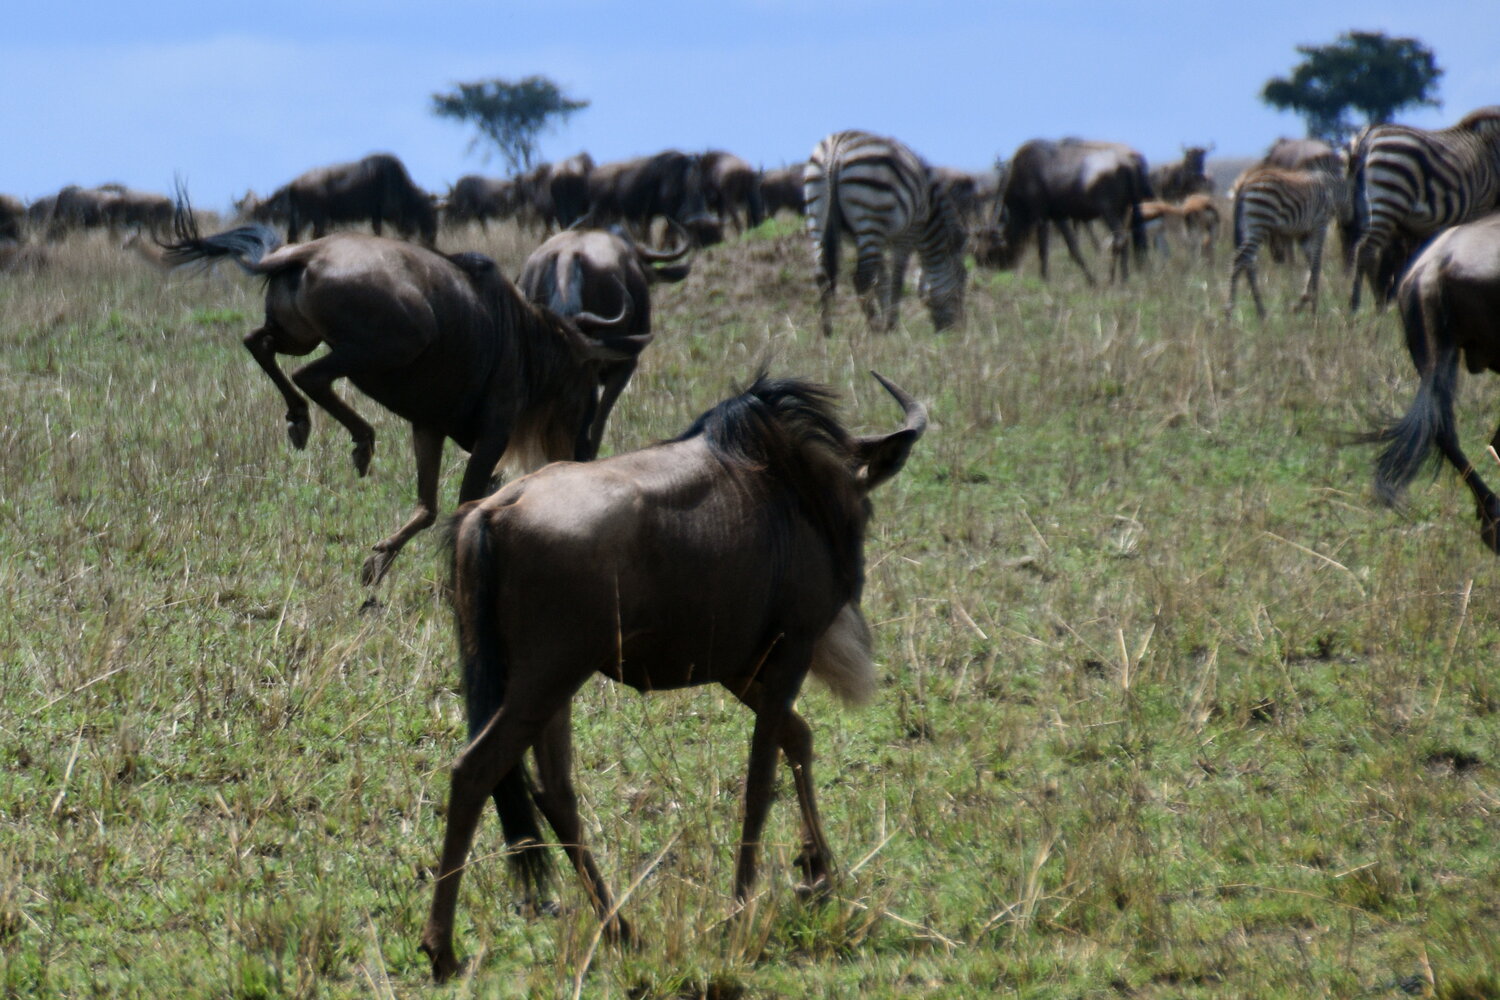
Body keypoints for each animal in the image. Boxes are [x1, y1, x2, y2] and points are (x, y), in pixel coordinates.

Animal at [804, 130, 966, 335]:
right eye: (962, 280)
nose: (959, 332)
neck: (930, 214)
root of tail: (836, 149)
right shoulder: (907, 234)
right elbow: (896, 280)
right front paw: (890, 325)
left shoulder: (880, 241)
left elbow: (882, 281)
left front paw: (886, 322)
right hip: (870, 217)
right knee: (862, 279)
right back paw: (873, 329)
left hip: (817, 217)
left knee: (822, 276)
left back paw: (827, 332)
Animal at [1230, 166, 1350, 319]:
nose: (1348, 218)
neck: (1333, 188)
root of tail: (1243, 185)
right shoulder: (1320, 224)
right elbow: (1316, 264)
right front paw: (1313, 309)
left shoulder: (1303, 234)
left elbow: (1311, 263)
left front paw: (1303, 301)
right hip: (1260, 223)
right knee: (1240, 260)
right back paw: (1229, 313)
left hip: (1249, 228)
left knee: (1248, 263)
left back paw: (1261, 313)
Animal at [1350, 104, 1500, 308]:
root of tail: (1367, 136)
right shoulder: (1481, 206)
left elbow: (1412, 258)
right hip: (1388, 196)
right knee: (1367, 250)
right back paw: (1362, 306)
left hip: (1366, 206)